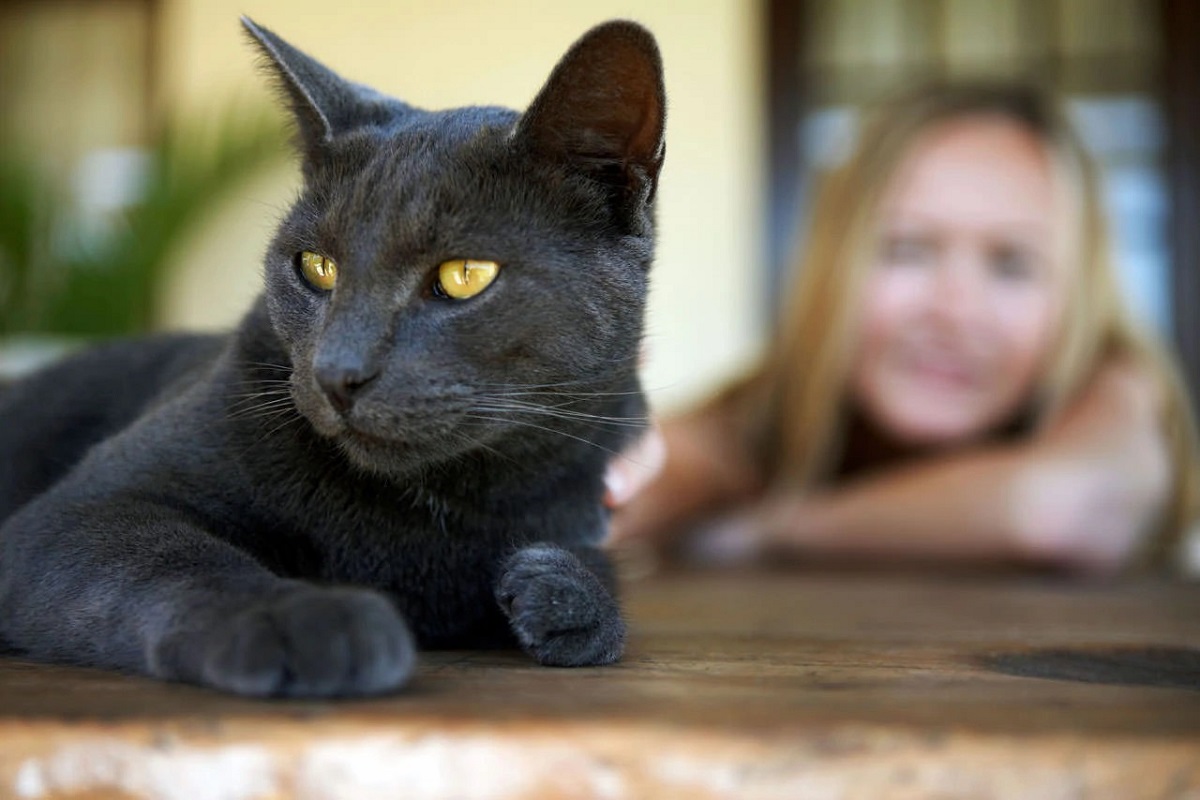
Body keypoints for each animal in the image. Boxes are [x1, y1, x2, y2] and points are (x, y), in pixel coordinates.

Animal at [0, 15, 662, 695]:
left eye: (464, 276)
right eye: (316, 266)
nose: (337, 373)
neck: (430, 502)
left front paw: (565, 592)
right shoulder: (77, 512)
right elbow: (174, 559)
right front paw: (305, 619)